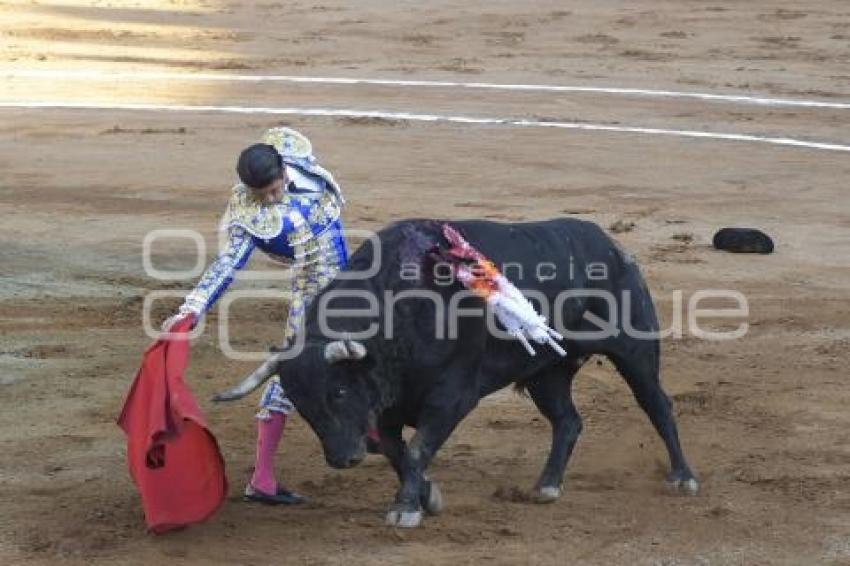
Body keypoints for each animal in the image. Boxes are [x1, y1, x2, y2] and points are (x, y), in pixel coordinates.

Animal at [268, 220, 692, 532]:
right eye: (301, 405)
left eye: (338, 391)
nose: (343, 458)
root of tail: (614, 246)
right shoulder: (386, 406)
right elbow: (397, 451)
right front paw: (427, 497)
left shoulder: (451, 396)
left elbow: (418, 447)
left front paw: (405, 508)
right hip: (546, 374)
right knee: (568, 420)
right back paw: (547, 486)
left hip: (635, 352)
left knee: (657, 405)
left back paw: (683, 477)